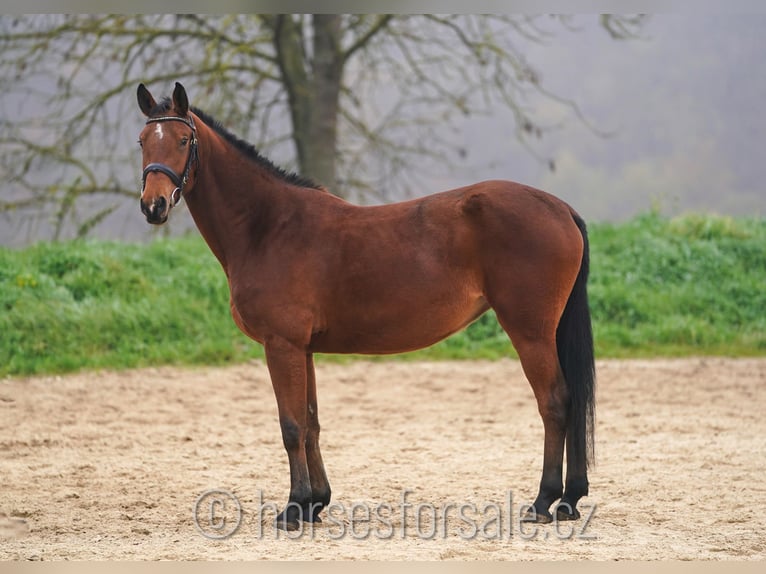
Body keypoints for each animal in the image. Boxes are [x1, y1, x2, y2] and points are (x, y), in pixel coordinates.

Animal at [135, 83, 596, 532]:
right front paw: (315, 503)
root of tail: (561, 209)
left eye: (182, 140)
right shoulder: (303, 349)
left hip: (531, 332)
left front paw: (293, 509)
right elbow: (311, 422)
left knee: (555, 402)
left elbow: (291, 426)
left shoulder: (281, 344)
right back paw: (570, 500)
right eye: (142, 141)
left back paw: (543, 501)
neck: (269, 226)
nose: (153, 205)